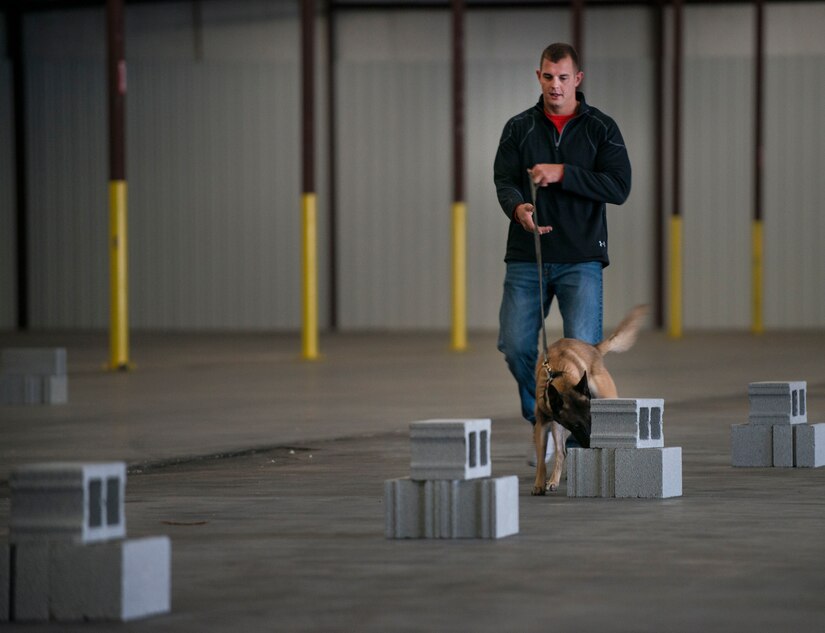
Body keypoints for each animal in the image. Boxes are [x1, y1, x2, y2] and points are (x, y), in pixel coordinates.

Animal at [532, 304, 648, 496]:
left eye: (592, 420)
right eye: (576, 425)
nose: (591, 446)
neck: (560, 375)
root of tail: (594, 348)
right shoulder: (542, 424)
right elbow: (541, 459)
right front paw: (539, 484)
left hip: (607, 398)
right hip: (557, 426)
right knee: (561, 452)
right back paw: (554, 480)